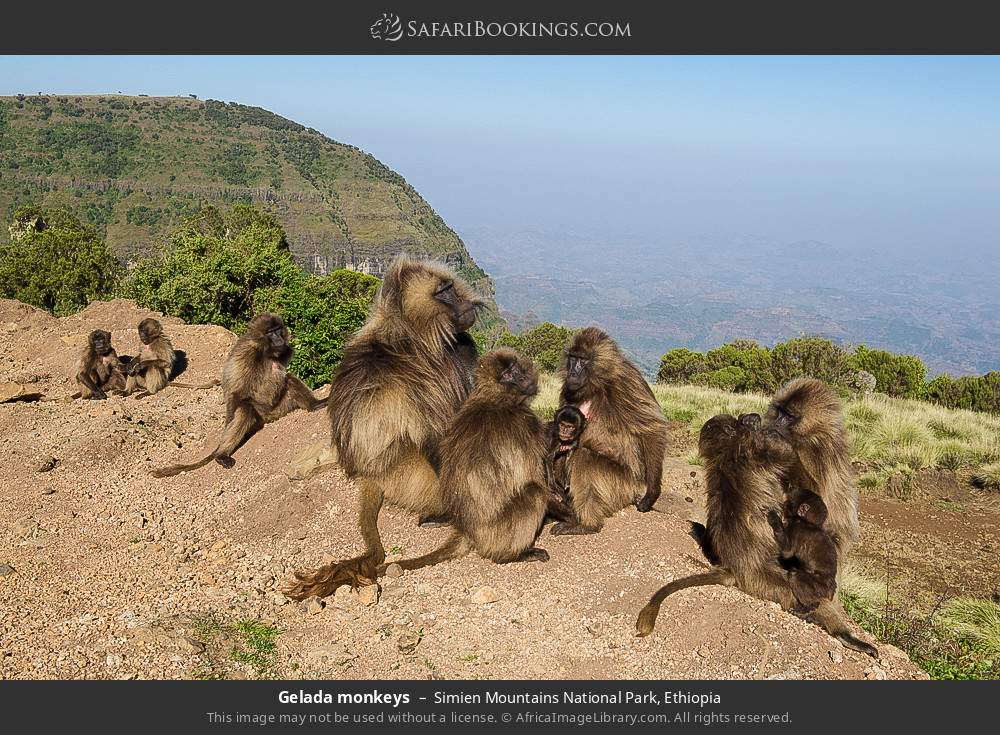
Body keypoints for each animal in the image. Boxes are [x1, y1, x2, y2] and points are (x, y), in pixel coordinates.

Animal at [150, 313, 326, 478]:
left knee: (288, 379)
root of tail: (269, 416)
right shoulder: (246, 351)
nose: (279, 338)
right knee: (244, 408)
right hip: (260, 412)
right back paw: (222, 454)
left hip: (278, 407)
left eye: (277, 330)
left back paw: (314, 405)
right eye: (270, 332)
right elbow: (234, 390)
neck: (265, 350)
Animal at [284, 258, 482, 600]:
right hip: (413, 475)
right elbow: (438, 430)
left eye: (451, 287)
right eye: (443, 292)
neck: (410, 330)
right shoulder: (448, 359)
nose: (467, 305)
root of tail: (372, 475)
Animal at [550, 327, 669, 535]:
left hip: (621, 486)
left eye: (583, 360)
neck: (599, 383)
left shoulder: (627, 380)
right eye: (572, 357)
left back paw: (587, 525)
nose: (572, 372)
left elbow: (650, 427)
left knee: (583, 456)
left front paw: (652, 494)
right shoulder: (568, 390)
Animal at [635, 412, 878, 659]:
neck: (725, 455)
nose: (748, 417)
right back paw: (843, 634)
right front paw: (758, 427)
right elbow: (784, 453)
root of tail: (735, 570)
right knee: (807, 591)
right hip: (772, 583)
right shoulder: (756, 452)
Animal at [764, 377, 859, 557]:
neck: (806, 436)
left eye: (789, 416)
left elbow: (816, 496)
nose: (775, 424)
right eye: (779, 411)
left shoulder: (821, 451)